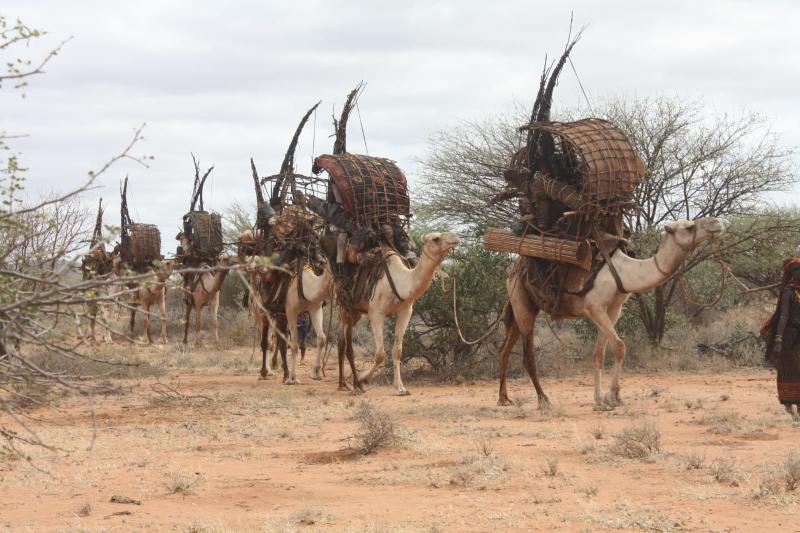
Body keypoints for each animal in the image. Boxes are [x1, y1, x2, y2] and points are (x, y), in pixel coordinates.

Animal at [338, 233, 462, 394]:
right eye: (436, 238)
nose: (456, 238)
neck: (400, 282)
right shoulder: (376, 313)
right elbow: (380, 355)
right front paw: (363, 378)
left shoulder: (405, 311)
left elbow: (397, 351)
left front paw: (400, 388)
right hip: (344, 306)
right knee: (346, 343)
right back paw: (351, 384)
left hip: (355, 312)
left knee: (341, 341)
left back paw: (343, 384)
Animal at [496, 216, 720, 408]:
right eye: (689, 226)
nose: (717, 224)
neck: (625, 273)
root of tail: (512, 269)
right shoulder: (595, 307)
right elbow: (620, 346)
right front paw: (613, 397)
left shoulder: (613, 311)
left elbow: (599, 355)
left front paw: (600, 400)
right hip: (522, 302)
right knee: (527, 356)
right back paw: (543, 400)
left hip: (520, 304)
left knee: (504, 350)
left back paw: (504, 399)